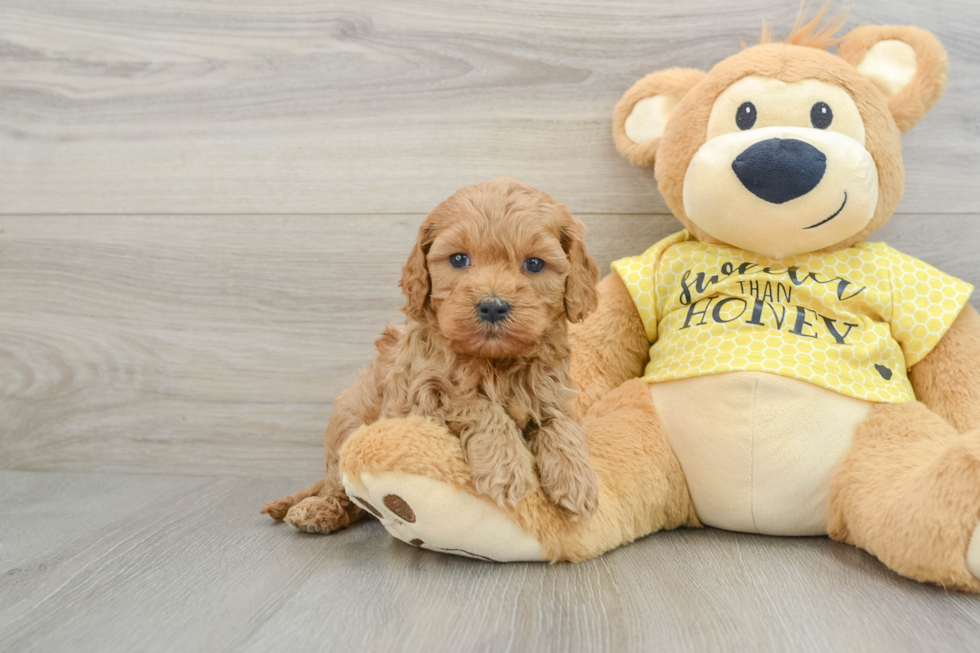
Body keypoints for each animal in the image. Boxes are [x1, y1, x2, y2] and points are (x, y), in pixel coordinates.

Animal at [268, 176, 600, 532]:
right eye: (458, 259)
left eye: (535, 263)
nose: (493, 306)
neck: (493, 361)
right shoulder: (419, 401)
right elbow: (475, 404)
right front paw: (506, 468)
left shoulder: (552, 392)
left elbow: (562, 425)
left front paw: (577, 479)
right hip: (348, 418)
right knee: (338, 485)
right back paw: (318, 511)